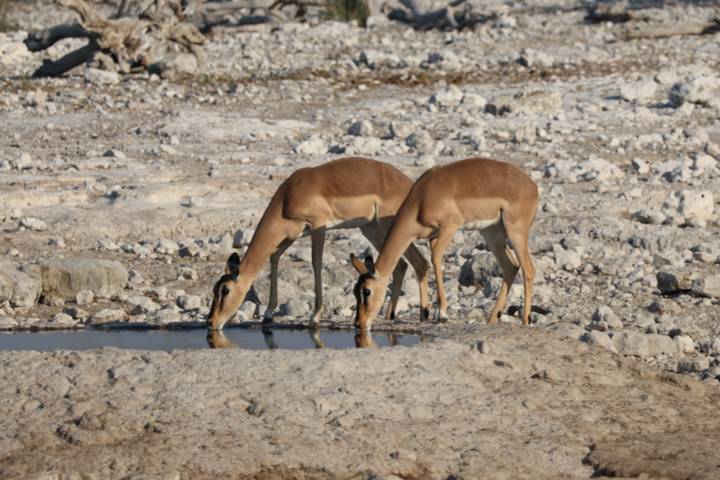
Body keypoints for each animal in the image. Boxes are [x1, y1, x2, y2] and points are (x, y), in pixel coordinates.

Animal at [207, 157, 430, 330]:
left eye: (225, 290)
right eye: (215, 289)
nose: (211, 322)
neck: (288, 197)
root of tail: (407, 183)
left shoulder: (318, 224)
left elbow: (316, 262)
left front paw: (314, 317)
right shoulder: (292, 235)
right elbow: (274, 257)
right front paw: (268, 314)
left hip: (388, 226)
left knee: (418, 262)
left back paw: (424, 316)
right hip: (371, 229)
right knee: (401, 265)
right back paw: (389, 314)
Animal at [351, 157, 539, 331]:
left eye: (366, 291)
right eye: (355, 290)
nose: (359, 324)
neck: (422, 199)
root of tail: (533, 187)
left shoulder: (450, 226)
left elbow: (435, 258)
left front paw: (441, 314)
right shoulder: (433, 236)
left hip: (515, 232)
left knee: (528, 269)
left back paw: (525, 321)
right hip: (491, 233)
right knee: (511, 266)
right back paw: (491, 320)